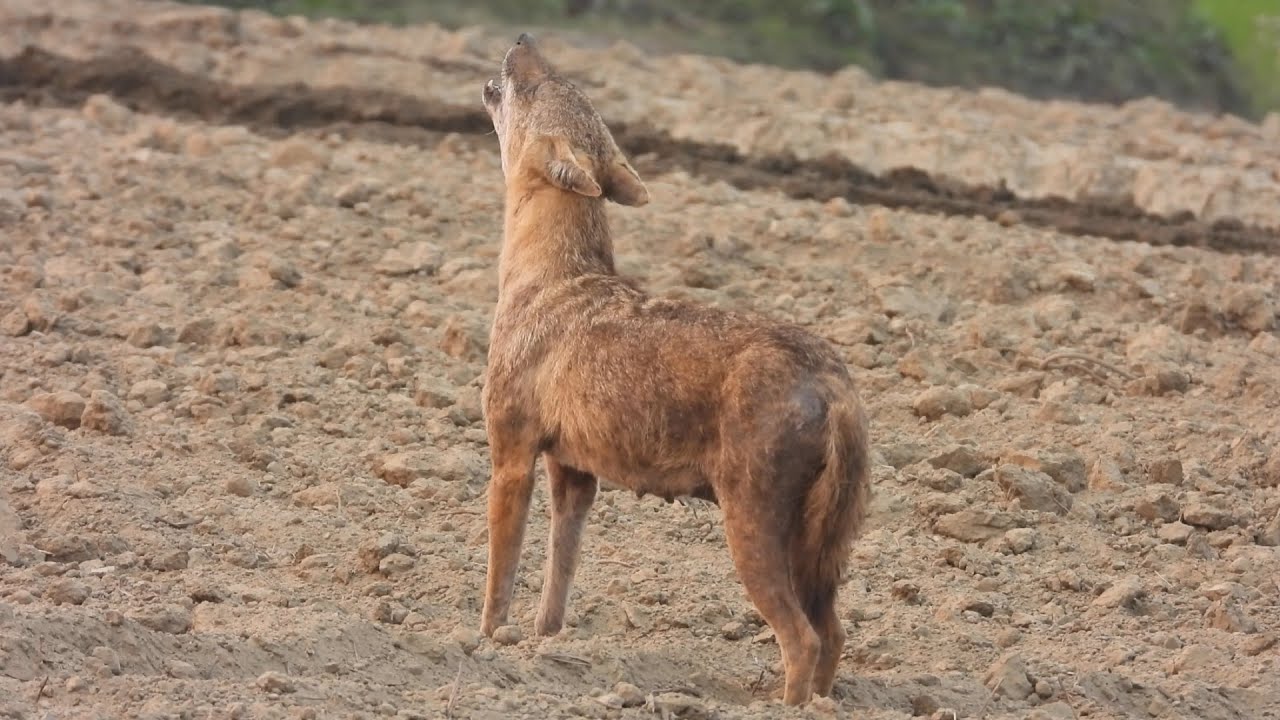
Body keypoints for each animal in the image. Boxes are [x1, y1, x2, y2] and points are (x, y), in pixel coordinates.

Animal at [477, 33, 872, 706]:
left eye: (540, 84)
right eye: (561, 80)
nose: (524, 38)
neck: (545, 275)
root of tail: (834, 380)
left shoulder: (512, 456)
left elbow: (498, 580)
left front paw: (482, 646)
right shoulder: (573, 475)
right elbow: (557, 580)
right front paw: (543, 650)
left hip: (751, 531)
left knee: (803, 639)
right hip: (816, 550)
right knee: (835, 635)